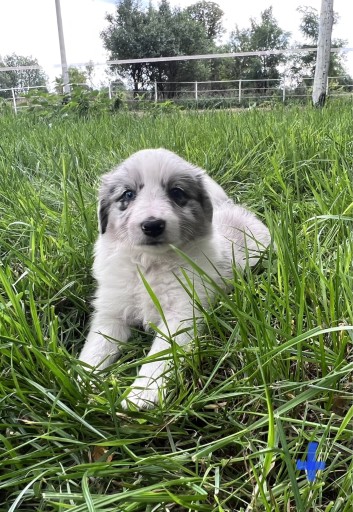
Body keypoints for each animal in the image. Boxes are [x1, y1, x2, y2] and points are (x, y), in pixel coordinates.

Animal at [78, 147, 268, 408]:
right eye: (128, 194)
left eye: (177, 192)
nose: (152, 225)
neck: (149, 264)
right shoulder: (110, 314)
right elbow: (95, 349)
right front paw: (82, 382)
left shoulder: (182, 313)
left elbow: (160, 356)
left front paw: (141, 395)